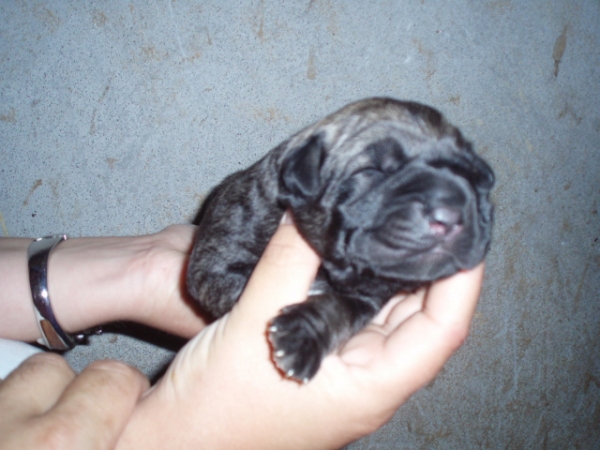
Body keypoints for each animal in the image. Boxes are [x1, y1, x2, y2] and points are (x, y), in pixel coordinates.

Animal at [185, 96, 494, 382]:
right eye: (372, 171)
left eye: (477, 179)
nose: (449, 215)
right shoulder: (215, 262)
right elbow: (244, 287)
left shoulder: (365, 300)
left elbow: (338, 310)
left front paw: (303, 337)